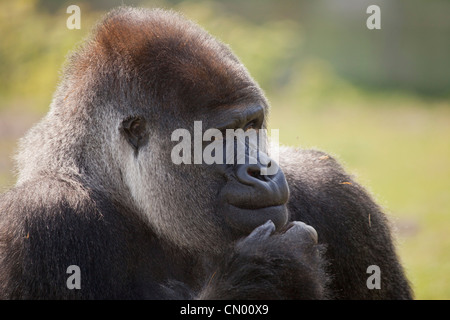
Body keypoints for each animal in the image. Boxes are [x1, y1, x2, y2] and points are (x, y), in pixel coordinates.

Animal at [0, 7, 412, 300]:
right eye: (215, 138)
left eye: (251, 125)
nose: (263, 169)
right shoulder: (41, 217)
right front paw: (273, 271)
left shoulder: (334, 190)